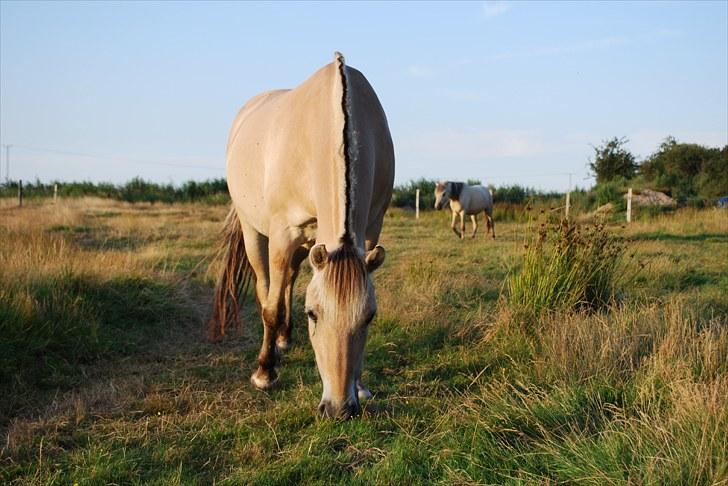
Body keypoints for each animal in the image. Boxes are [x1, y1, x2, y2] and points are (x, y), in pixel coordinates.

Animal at [208, 52, 396, 418]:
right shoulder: (283, 234)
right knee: (266, 288)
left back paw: (284, 337)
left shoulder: (369, 230)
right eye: (313, 314)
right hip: (255, 232)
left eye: (369, 316)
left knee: (290, 280)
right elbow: (270, 306)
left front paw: (361, 386)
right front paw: (265, 373)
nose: (339, 409)